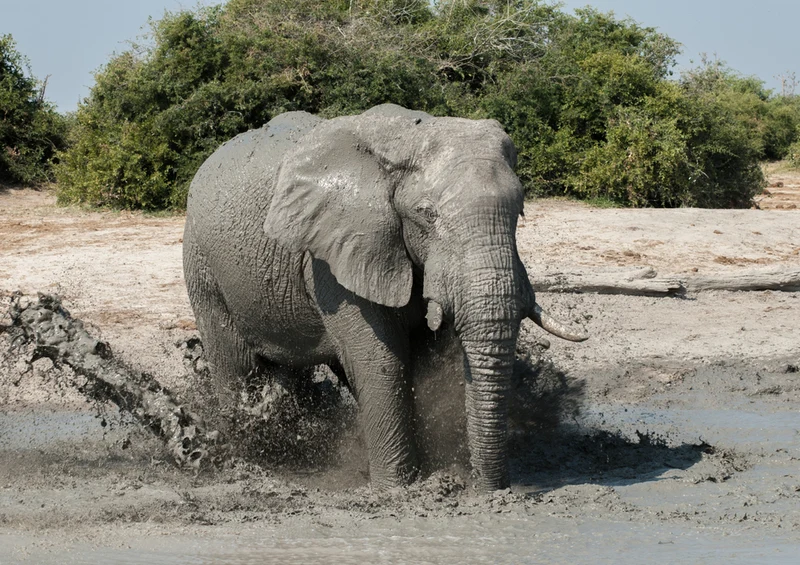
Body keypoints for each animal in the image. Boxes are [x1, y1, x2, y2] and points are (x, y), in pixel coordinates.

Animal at [183, 104, 587, 492]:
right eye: (426, 215)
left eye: (520, 211)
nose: (493, 491)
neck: (408, 136)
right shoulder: (334, 255)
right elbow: (381, 361)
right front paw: (395, 489)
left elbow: (419, 361)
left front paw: (428, 477)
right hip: (203, 268)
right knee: (237, 367)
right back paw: (255, 462)